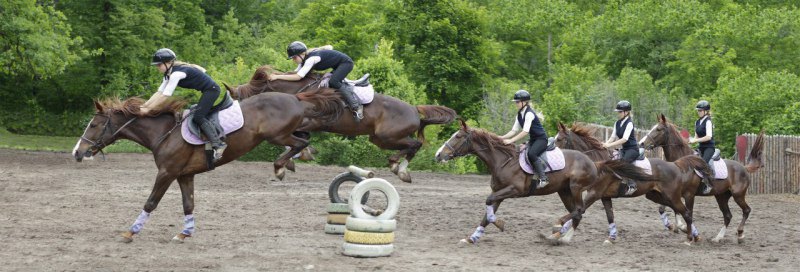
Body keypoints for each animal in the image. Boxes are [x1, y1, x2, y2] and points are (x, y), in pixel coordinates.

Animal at [72, 92, 310, 241]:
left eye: (94, 125)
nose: (77, 152)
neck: (164, 133)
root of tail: (294, 97)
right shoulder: (184, 175)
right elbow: (188, 204)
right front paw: (185, 233)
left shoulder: (167, 173)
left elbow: (151, 202)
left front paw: (131, 232)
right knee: (302, 139)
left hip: (276, 135)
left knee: (301, 142)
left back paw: (281, 166)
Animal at [228, 67, 460, 184]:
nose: (241, 123)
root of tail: (413, 109)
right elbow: (300, 139)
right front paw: (299, 157)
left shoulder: (312, 120)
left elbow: (298, 137)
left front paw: (291, 161)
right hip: (379, 139)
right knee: (411, 145)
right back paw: (399, 168)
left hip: (387, 137)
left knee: (413, 145)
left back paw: (399, 168)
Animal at [434, 120, 652, 244]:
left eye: (458, 136)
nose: (438, 155)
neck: (502, 160)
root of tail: (594, 162)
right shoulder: (500, 193)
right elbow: (487, 214)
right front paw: (473, 237)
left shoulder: (514, 190)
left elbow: (488, 203)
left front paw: (500, 224)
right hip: (565, 191)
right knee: (578, 212)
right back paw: (559, 236)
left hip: (577, 188)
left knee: (579, 210)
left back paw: (559, 230)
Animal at [556, 122, 712, 243]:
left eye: (559, 139)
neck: (599, 163)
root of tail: (675, 165)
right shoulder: (604, 196)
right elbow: (609, 215)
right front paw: (612, 237)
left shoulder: (594, 193)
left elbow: (579, 210)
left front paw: (560, 229)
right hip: (656, 195)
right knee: (679, 210)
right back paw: (690, 233)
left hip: (677, 195)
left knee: (686, 212)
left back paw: (690, 236)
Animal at [636, 113, 764, 243]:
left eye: (658, 129)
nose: (641, 143)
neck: (681, 165)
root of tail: (744, 167)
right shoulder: (673, 193)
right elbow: (668, 209)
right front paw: (678, 227)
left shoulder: (689, 194)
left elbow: (688, 213)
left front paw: (689, 233)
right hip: (721, 196)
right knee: (728, 215)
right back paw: (718, 237)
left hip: (738, 195)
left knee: (746, 210)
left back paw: (740, 234)